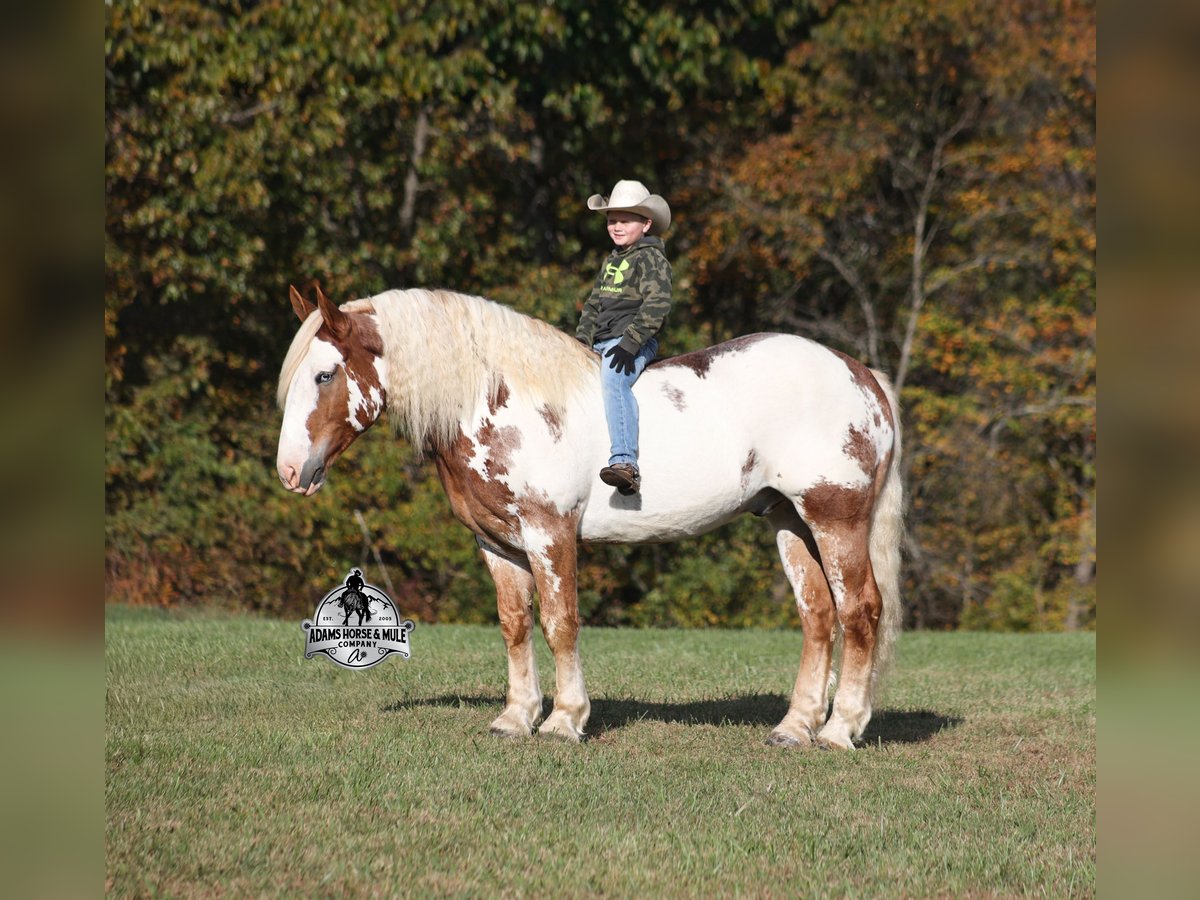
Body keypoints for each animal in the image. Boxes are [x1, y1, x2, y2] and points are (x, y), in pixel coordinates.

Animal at [276, 284, 903, 749]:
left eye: (325, 374)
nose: (289, 470)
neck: (498, 401)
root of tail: (862, 375)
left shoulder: (549, 533)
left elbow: (560, 622)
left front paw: (564, 720)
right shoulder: (498, 545)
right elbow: (516, 625)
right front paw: (516, 718)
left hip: (835, 517)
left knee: (860, 611)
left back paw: (840, 729)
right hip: (789, 521)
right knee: (818, 615)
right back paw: (795, 727)